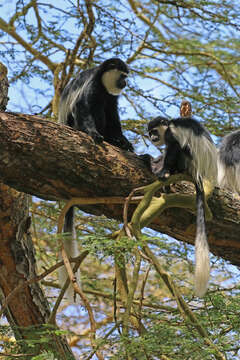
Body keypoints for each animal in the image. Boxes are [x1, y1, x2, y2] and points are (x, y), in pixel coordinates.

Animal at [57, 57, 134, 298]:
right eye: (122, 76)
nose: (125, 83)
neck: (102, 81)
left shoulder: (111, 98)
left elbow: (114, 117)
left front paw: (124, 141)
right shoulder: (92, 89)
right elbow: (84, 107)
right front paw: (93, 134)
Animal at [147, 115, 218, 296]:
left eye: (154, 131)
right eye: (150, 133)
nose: (152, 137)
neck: (169, 124)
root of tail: (199, 174)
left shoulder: (172, 134)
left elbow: (172, 148)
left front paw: (163, 170)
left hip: (188, 161)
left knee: (178, 149)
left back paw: (167, 172)